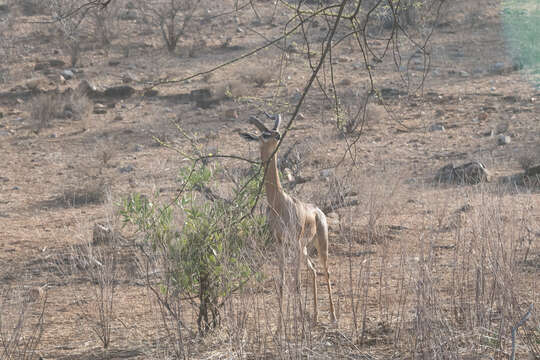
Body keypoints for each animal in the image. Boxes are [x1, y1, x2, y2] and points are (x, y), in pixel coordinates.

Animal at [242, 112, 336, 324]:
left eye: (274, 130)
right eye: (264, 134)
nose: (278, 136)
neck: (279, 202)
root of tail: (318, 211)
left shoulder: (293, 241)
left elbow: (297, 282)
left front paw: (299, 318)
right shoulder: (279, 243)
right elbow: (283, 281)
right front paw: (280, 325)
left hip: (319, 244)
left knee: (325, 271)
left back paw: (333, 317)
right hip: (304, 249)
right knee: (313, 270)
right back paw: (315, 315)